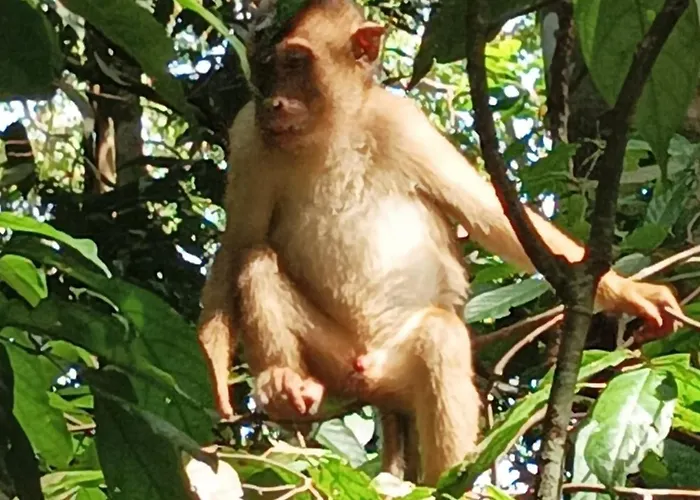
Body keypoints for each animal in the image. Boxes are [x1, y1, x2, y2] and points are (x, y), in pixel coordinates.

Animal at [196, 0, 683, 485]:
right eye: (271, 68)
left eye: (296, 63)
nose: (273, 101)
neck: (334, 129)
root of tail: (372, 378)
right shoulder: (250, 136)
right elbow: (238, 242)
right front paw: (211, 375)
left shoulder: (406, 126)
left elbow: (493, 217)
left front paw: (634, 293)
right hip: (338, 362)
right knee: (256, 260)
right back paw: (285, 386)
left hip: (394, 364)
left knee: (440, 339)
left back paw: (448, 481)